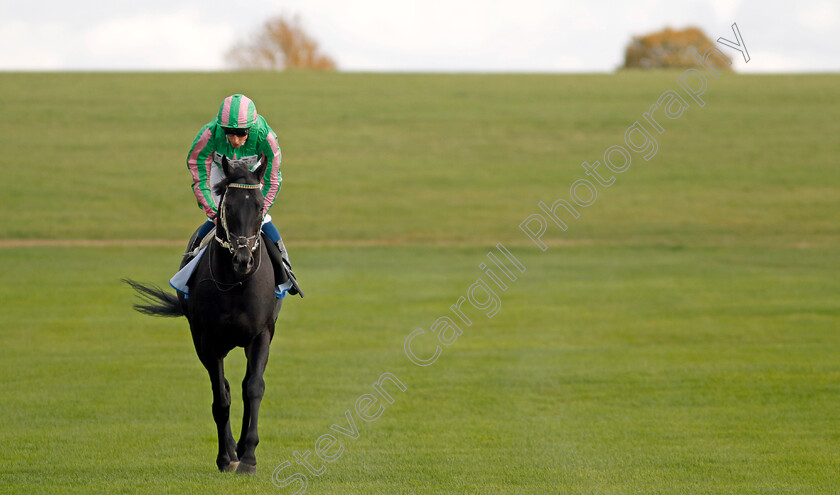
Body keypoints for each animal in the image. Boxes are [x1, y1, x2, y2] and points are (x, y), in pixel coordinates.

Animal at [125, 159, 278, 476]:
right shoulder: (207, 342)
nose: (243, 260)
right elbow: (220, 398)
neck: (235, 283)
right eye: (228, 206)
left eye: (259, 206)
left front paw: (249, 456)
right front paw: (226, 458)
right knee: (227, 389)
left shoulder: (260, 335)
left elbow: (253, 388)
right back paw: (231, 449)